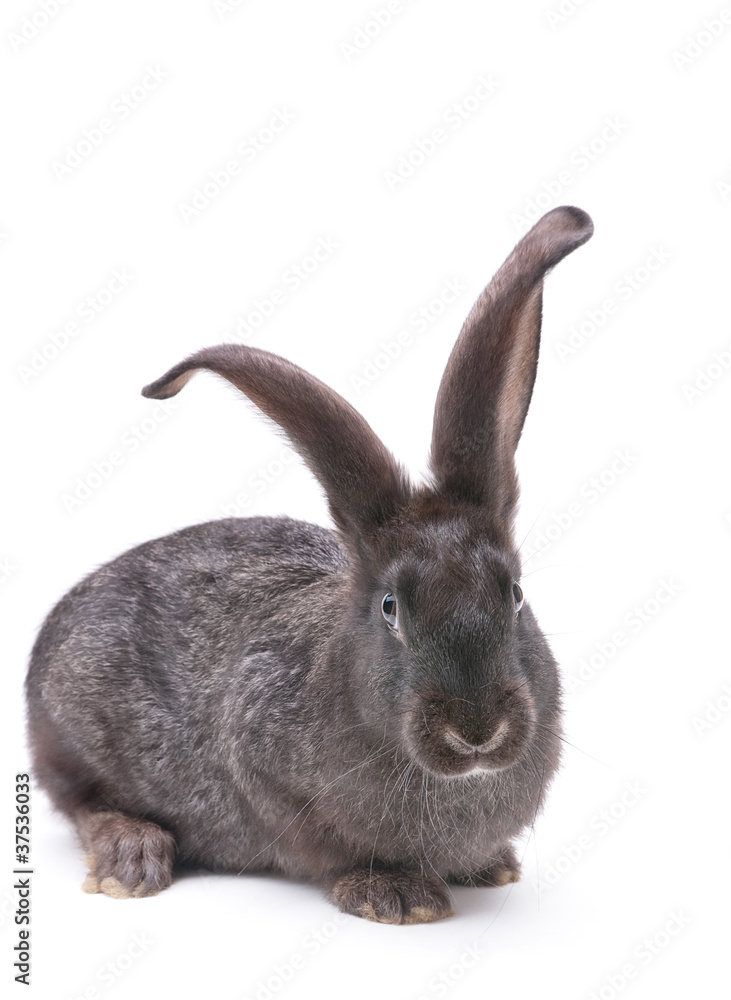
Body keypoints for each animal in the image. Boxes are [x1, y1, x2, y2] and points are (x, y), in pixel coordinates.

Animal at [25, 205, 593, 924]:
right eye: (391, 609)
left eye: (514, 595)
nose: (477, 729)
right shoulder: (264, 770)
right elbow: (323, 846)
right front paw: (395, 895)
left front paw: (490, 866)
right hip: (72, 729)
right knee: (78, 798)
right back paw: (132, 858)